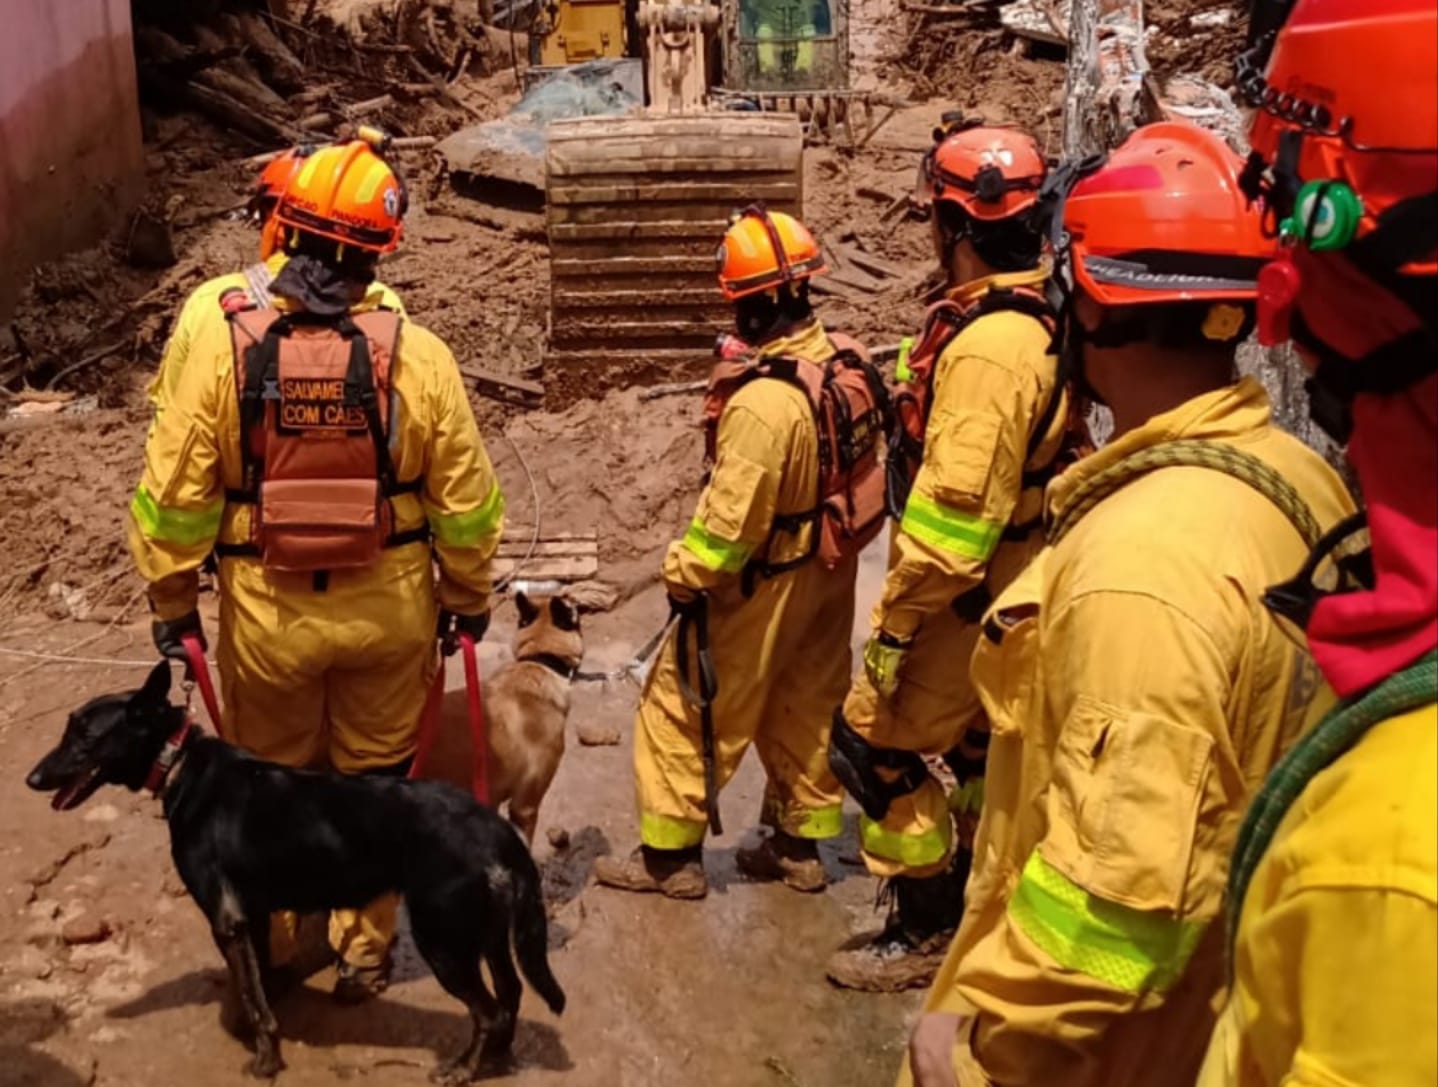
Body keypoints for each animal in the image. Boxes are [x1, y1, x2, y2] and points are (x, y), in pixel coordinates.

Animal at [26, 661, 566, 1081]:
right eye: (68, 729)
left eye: (84, 735)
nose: (32, 778)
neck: (178, 761)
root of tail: (496, 830)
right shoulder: (254, 916)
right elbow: (258, 986)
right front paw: (265, 1037)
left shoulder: (227, 921)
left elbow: (251, 994)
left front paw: (264, 1062)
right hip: (486, 934)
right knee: (512, 993)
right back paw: (497, 1059)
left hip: (445, 940)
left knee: (488, 1011)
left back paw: (464, 1068)